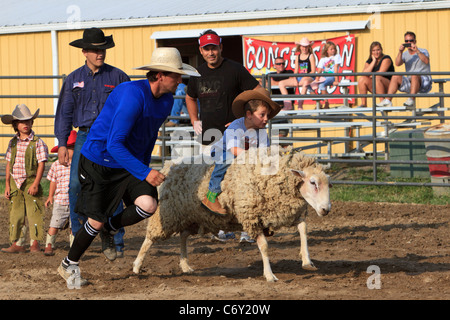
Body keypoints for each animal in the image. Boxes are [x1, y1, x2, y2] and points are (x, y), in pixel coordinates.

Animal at [132, 146, 332, 282]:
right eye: (313, 183)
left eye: (328, 183)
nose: (326, 209)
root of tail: (169, 165)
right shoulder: (252, 216)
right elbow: (265, 246)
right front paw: (269, 275)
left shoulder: (286, 213)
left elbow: (303, 229)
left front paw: (307, 261)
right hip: (168, 214)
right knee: (149, 239)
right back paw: (136, 266)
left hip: (193, 217)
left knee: (183, 236)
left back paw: (185, 265)